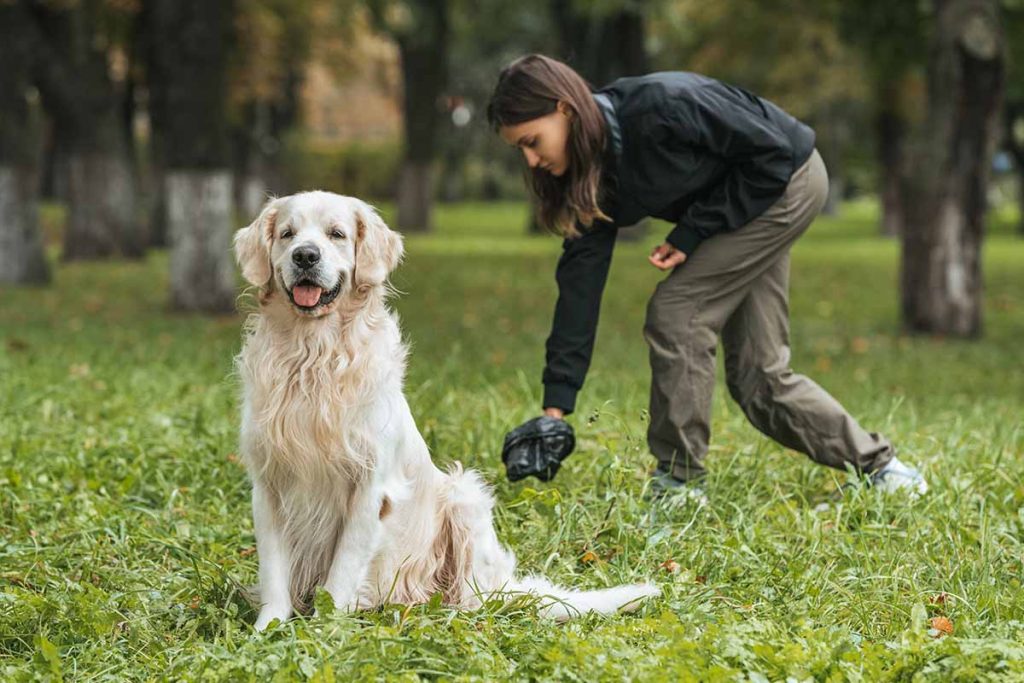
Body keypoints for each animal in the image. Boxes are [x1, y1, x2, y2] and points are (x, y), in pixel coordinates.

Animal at [234, 192, 655, 630]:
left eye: (337, 234)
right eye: (287, 234)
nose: (305, 256)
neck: (312, 355)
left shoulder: (370, 487)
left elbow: (341, 573)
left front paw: (322, 629)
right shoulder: (268, 484)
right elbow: (274, 572)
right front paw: (268, 629)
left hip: (464, 497)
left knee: (474, 598)